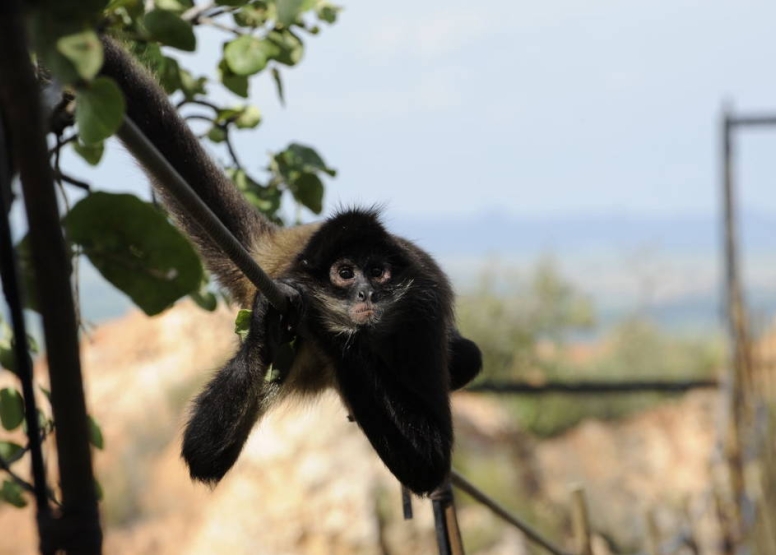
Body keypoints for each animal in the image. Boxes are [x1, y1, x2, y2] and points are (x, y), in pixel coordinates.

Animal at [99, 38, 482, 496]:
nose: (366, 293)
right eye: (345, 273)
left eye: (378, 273)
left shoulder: (421, 308)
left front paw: (333, 330)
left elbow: (430, 463)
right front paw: (268, 322)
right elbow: (203, 455)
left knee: (468, 357)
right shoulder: (291, 326)